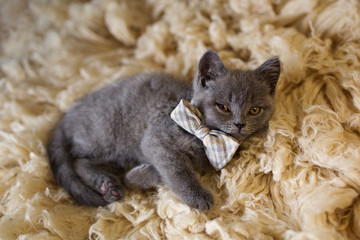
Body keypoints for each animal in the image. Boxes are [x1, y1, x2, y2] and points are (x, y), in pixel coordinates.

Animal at [46, 50, 280, 210]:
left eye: (254, 110)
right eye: (223, 107)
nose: (240, 123)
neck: (204, 136)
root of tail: (67, 117)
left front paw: (140, 175)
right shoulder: (156, 139)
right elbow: (178, 171)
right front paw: (197, 197)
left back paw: (110, 185)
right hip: (108, 136)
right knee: (78, 160)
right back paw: (108, 183)